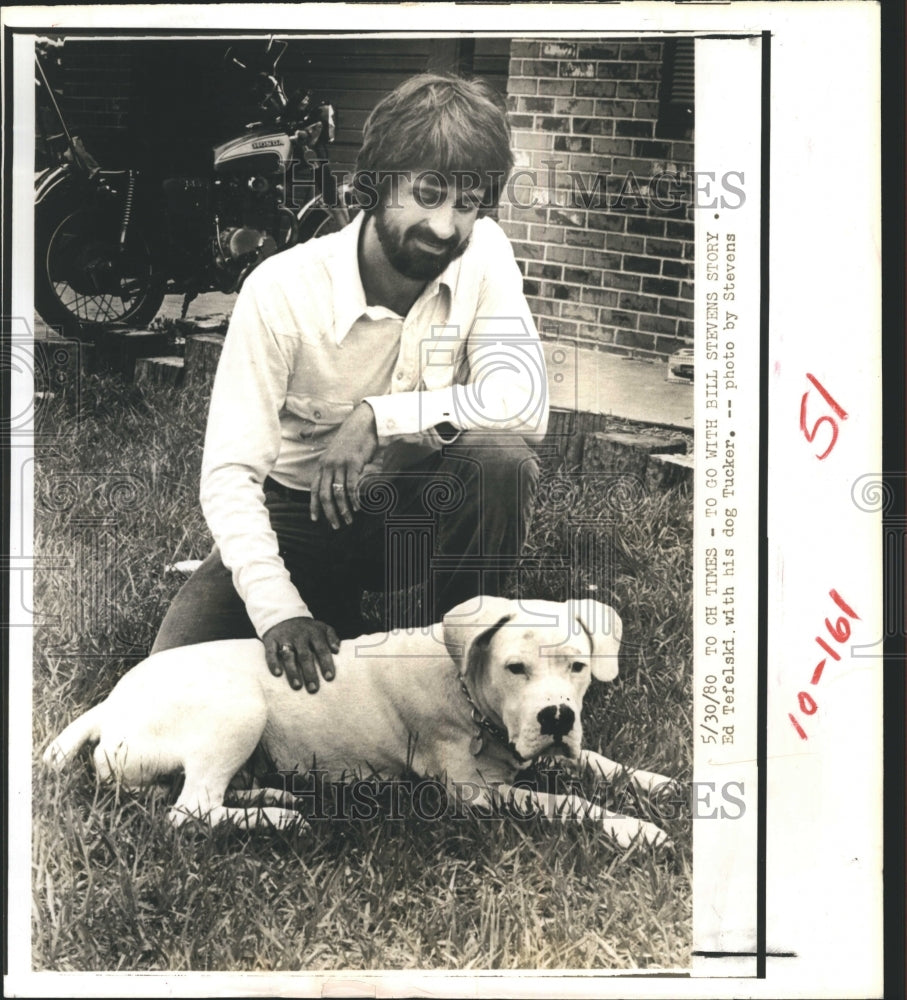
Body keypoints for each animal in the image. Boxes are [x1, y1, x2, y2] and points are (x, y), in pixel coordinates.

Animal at [46, 596, 676, 848]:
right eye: (515, 668)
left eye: (578, 667)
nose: (557, 716)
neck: (468, 689)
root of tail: (109, 704)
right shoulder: (476, 794)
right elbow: (564, 800)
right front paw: (632, 828)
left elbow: (596, 761)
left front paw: (656, 783)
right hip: (238, 707)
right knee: (189, 811)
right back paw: (280, 819)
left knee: (204, 795)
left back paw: (274, 795)